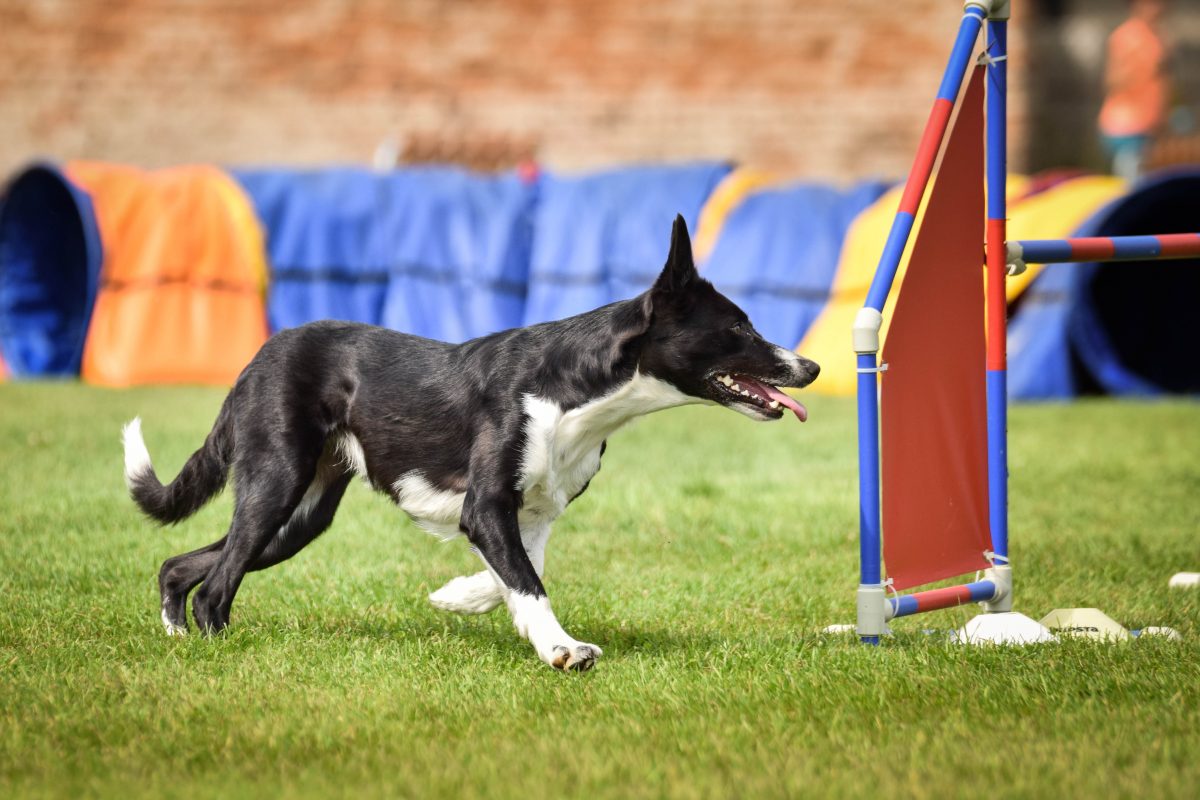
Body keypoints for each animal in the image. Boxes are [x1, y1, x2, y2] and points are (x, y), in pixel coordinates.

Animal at [124, 215, 816, 671]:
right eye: (738, 328)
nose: (808, 366)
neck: (577, 391)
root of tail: (257, 359)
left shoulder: (532, 512)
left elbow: (523, 572)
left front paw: (457, 595)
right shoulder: (485, 507)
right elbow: (529, 583)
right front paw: (562, 650)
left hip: (301, 516)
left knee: (182, 565)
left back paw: (175, 637)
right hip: (277, 482)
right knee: (216, 587)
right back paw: (216, 650)